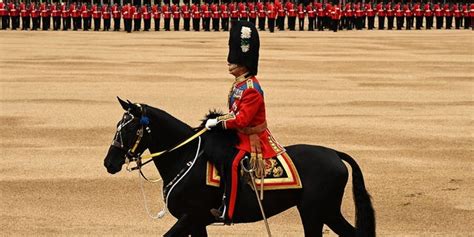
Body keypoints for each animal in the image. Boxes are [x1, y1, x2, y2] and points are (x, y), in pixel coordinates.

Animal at [104, 97, 378, 236]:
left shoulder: (191, 216)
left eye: (129, 128)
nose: (109, 163)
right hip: (322, 212)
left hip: (317, 212)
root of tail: (334, 153)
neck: (184, 156)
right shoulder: (196, 221)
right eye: (118, 125)